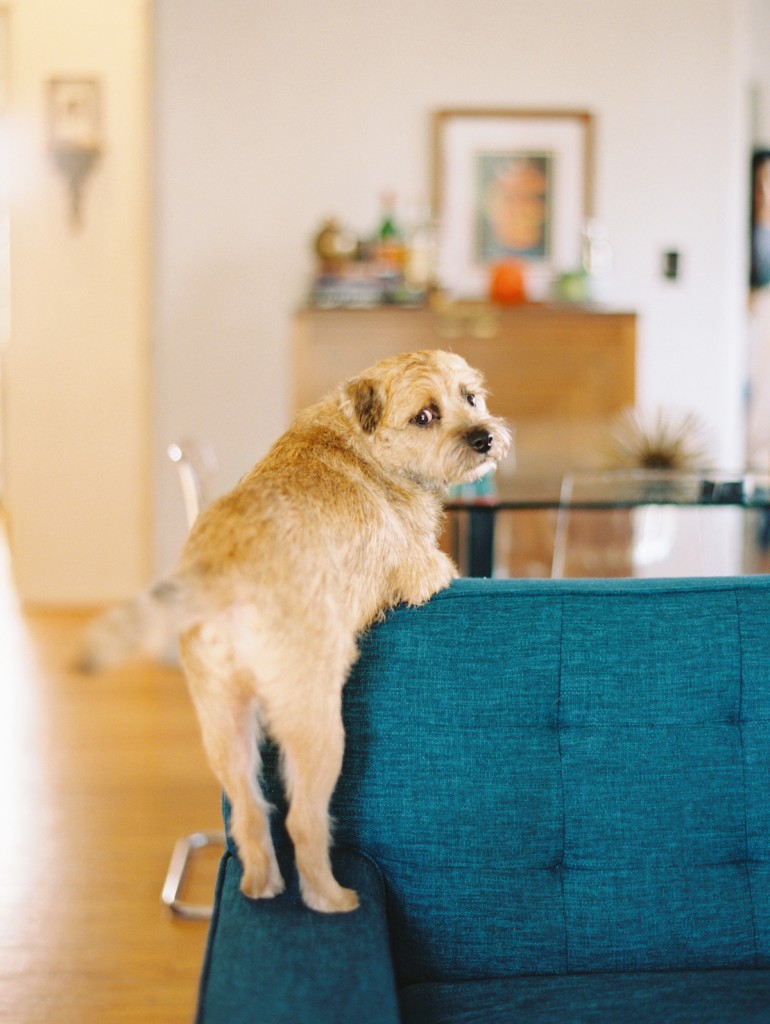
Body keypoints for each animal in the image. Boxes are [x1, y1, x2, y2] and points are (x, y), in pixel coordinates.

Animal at [81, 350, 511, 913]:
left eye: (471, 398)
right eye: (425, 416)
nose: (484, 437)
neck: (364, 443)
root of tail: (223, 571)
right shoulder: (427, 571)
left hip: (225, 724)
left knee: (248, 816)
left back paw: (260, 886)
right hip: (318, 728)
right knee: (302, 820)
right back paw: (332, 897)